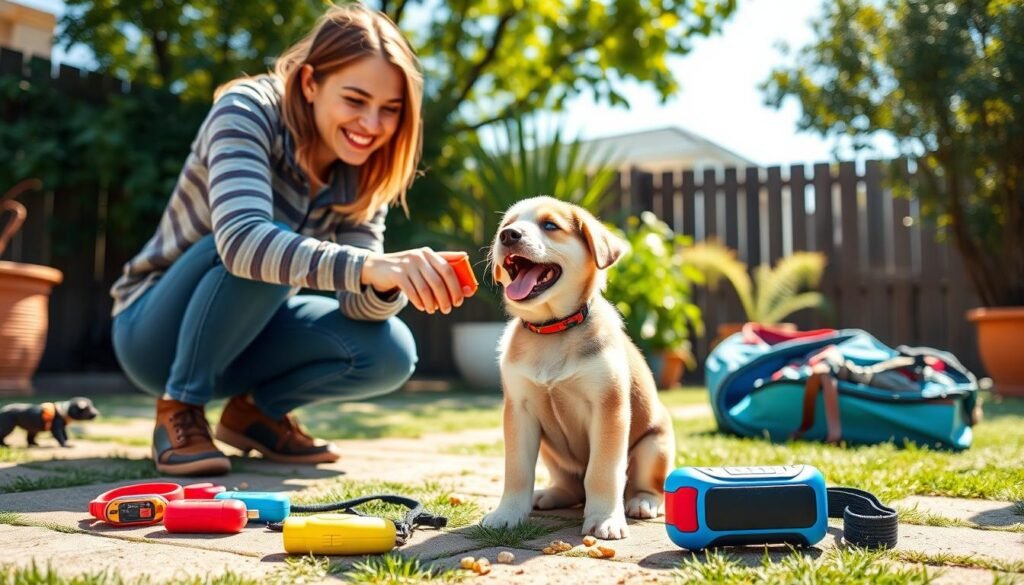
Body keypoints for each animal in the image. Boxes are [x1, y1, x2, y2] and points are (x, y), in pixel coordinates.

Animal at [477, 196, 671, 540]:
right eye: (507, 225)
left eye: (550, 225)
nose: (508, 236)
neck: (553, 329)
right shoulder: (518, 411)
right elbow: (517, 471)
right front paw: (507, 513)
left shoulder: (609, 408)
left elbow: (602, 472)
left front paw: (605, 518)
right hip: (550, 451)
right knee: (571, 486)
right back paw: (549, 495)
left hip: (654, 446)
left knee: (644, 485)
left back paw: (642, 502)